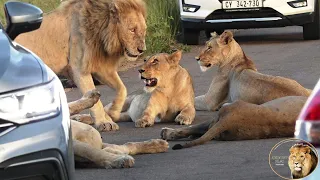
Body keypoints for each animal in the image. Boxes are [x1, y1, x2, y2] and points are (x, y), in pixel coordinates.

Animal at [15, 0, 147, 132]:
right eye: (132, 30)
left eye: (144, 30)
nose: (142, 50)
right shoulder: (78, 68)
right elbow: (97, 101)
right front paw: (104, 122)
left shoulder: (100, 67)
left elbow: (122, 88)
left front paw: (113, 112)